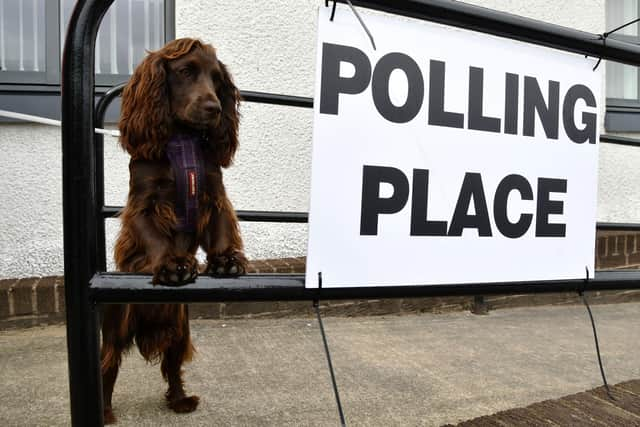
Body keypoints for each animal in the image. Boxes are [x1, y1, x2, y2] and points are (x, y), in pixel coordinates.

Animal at [101, 39, 249, 424]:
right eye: (185, 72)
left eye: (217, 80)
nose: (214, 108)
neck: (182, 140)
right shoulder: (144, 203)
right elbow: (154, 237)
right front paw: (172, 265)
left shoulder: (213, 194)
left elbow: (222, 230)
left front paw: (226, 260)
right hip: (117, 325)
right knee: (107, 366)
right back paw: (104, 410)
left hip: (180, 328)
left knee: (172, 365)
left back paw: (181, 400)